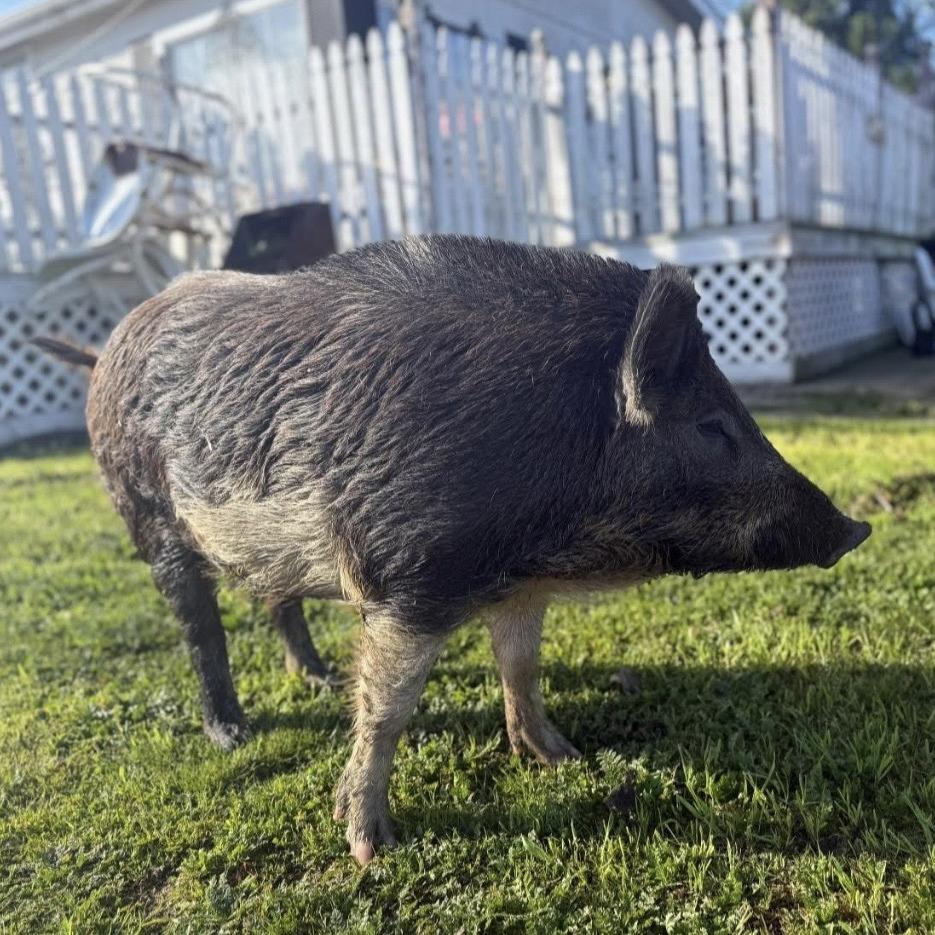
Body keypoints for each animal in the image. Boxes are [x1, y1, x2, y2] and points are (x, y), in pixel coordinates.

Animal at [37, 235, 870, 864]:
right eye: (710, 427)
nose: (853, 529)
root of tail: (104, 349)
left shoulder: (518, 586)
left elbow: (521, 665)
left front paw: (562, 757)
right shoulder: (411, 578)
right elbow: (387, 706)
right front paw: (369, 846)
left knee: (277, 601)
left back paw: (316, 678)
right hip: (146, 513)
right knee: (199, 623)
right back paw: (231, 733)